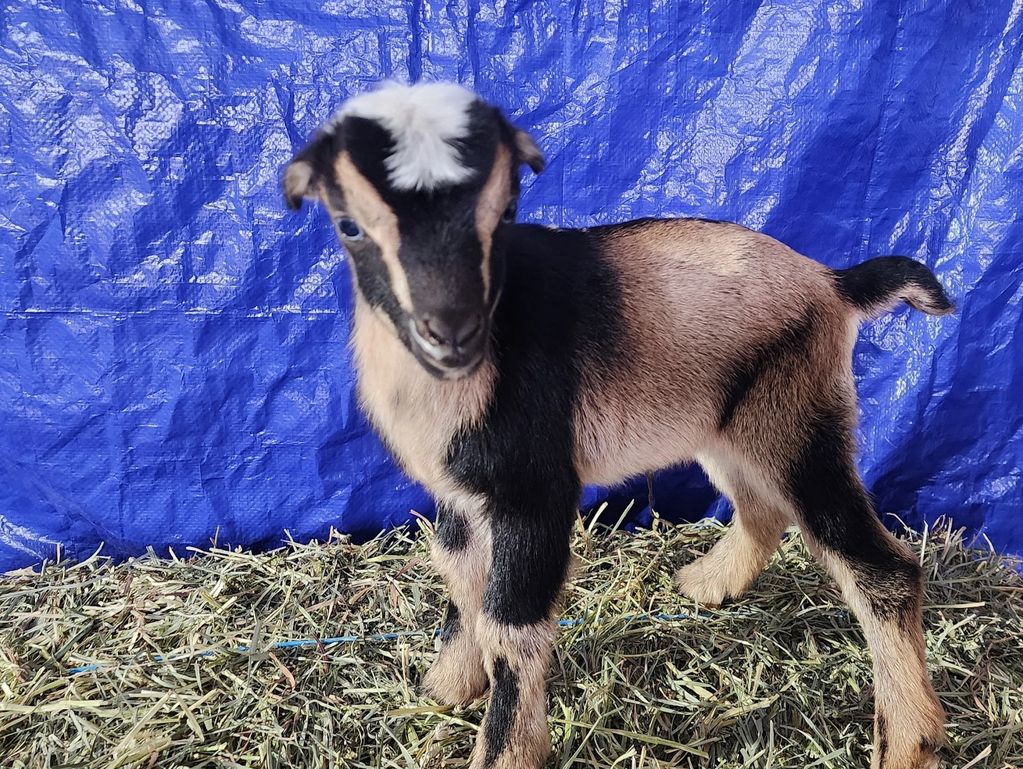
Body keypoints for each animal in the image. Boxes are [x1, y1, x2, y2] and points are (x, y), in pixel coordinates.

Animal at [283, 81, 952, 769]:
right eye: (349, 225)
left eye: (502, 213)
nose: (451, 333)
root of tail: (833, 283)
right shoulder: (463, 495)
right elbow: (462, 578)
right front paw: (447, 686)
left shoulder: (535, 492)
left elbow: (511, 623)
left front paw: (504, 749)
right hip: (732, 427)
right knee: (763, 510)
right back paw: (706, 585)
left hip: (799, 423)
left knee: (878, 566)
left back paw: (910, 741)